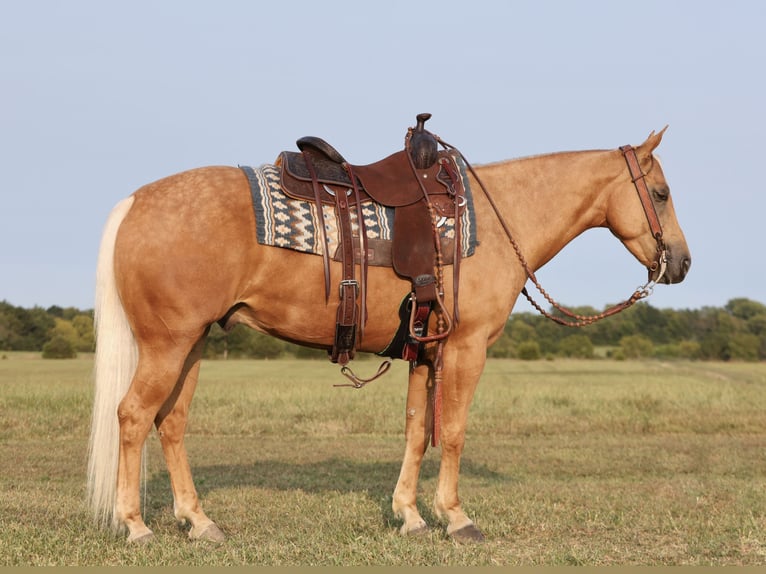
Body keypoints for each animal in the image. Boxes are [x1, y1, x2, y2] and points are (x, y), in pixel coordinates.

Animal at [87, 125, 692, 544]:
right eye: (661, 193)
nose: (682, 263)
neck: (497, 222)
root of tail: (136, 202)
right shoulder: (466, 349)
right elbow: (453, 432)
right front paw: (456, 518)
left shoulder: (425, 351)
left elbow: (416, 431)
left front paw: (411, 515)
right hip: (167, 346)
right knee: (134, 417)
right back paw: (136, 525)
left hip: (192, 344)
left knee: (171, 423)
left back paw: (199, 521)